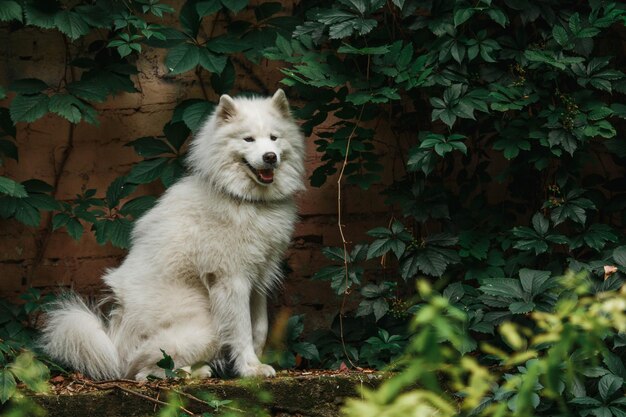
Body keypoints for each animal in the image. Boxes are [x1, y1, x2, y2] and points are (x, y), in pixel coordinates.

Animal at [39, 89, 304, 378]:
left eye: (274, 138)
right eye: (248, 139)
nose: (270, 157)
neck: (244, 200)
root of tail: (114, 342)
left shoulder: (258, 278)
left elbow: (259, 328)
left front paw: (257, 362)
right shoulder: (231, 279)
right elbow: (241, 330)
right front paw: (249, 369)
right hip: (205, 326)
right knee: (143, 370)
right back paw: (193, 372)